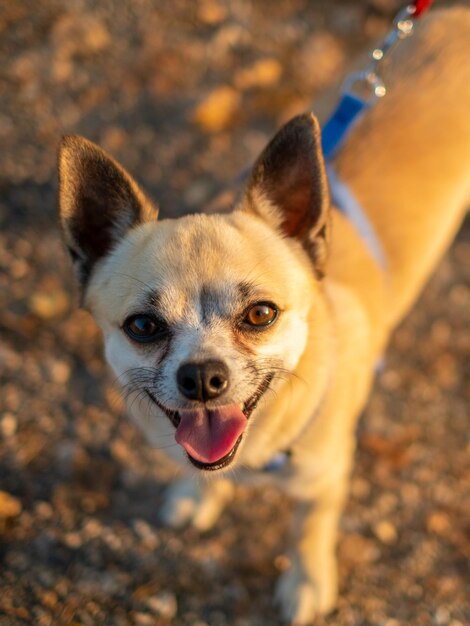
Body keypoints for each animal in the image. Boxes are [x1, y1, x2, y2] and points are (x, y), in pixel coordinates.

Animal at [57, 9, 470, 624]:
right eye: (143, 326)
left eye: (260, 314)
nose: (203, 378)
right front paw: (197, 495)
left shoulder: (327, 479)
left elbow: (308, 530)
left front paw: (307, 583)